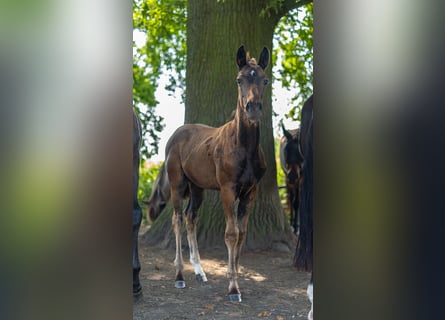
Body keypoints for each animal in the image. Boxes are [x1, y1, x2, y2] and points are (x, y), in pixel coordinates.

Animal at [153, 45, 268, 302]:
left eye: (265, 80)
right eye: (238, 80)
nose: (253, 109)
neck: (243, 147)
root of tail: (175, 135)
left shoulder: (251, 191)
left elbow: (242, 233)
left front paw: (235, 279)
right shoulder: (227, 189)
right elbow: (231, 233)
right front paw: (233, 289)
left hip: (197, 188)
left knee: (191, 218)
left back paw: (199, 272)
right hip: (177, 184)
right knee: (177, 219)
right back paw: (179, 276)